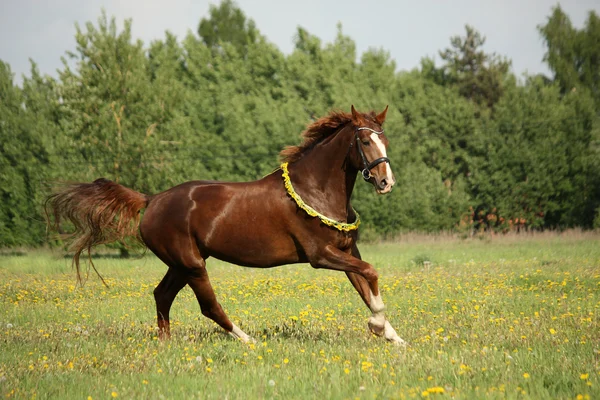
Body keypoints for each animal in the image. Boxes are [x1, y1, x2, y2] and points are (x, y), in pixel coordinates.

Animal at [44, 105, 406, 344]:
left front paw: (392, 336)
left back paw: (166, 344)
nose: (386, 182)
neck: (313, 190)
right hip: (191, 264)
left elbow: (366, 285)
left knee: (162, 295)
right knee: (208, 306)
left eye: (386, 140)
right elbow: (371, 272)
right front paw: (378, 327)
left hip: (182, 263)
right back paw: (248, 342)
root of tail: (152, 199)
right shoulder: (321, 255)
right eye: (365, 141)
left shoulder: (347, 250)